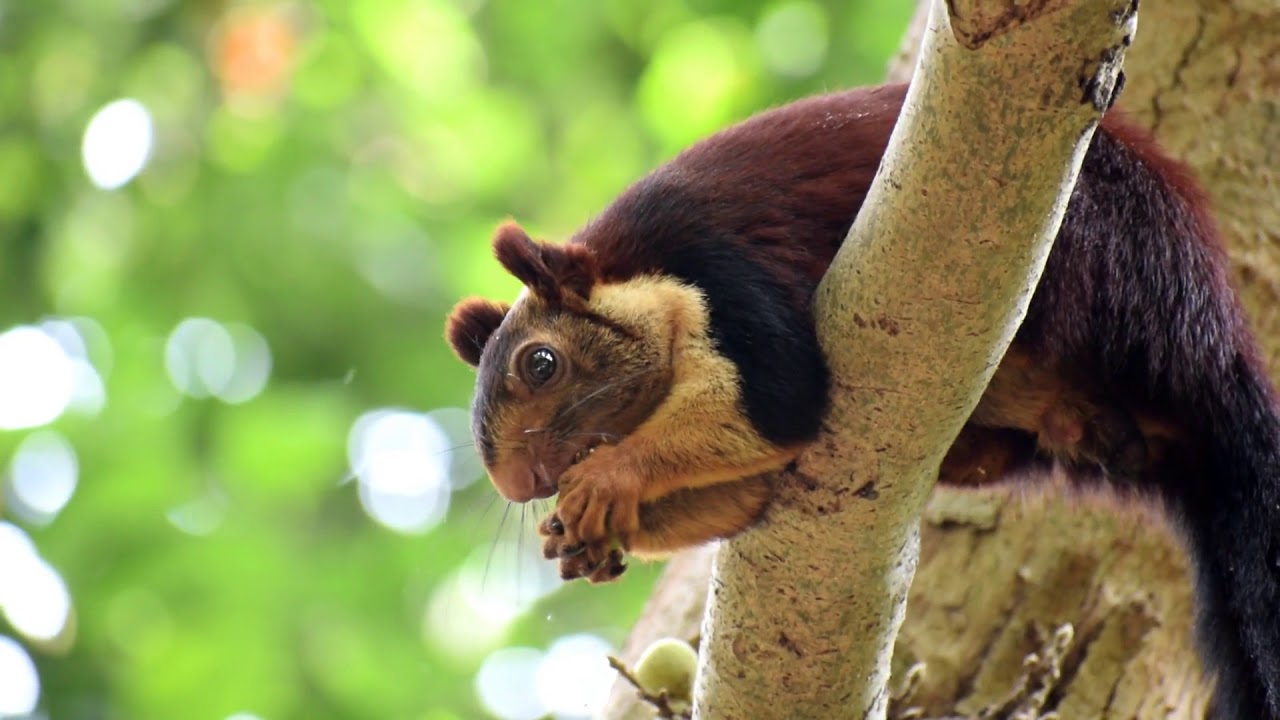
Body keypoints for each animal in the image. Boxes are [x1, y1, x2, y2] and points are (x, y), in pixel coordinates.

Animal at [445, 83, 1280, 719]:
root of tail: (1211, 349)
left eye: (541, 363)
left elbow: (781, 404)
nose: (522, 484)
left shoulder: (728, 273)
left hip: (1094, 252)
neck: (641, 264)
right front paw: (579, 539)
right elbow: (751, 489)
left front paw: (609, 481)